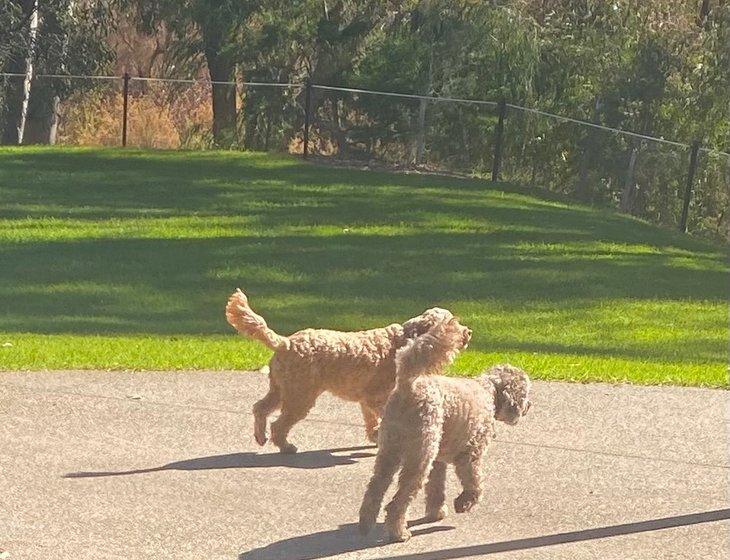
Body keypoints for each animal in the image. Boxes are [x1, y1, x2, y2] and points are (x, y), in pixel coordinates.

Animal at [223, 290, 472, 452]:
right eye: (453, 323)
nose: (469, 332)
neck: (403, 342)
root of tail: (285, 342)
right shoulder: (375, 398)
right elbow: (382, 417)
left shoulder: (367, 401)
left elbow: (372, 421)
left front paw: (375, 436)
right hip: (299, 396)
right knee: (279, 424)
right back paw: (286, 446)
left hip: (281, 389)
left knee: (260, 408)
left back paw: (260, 436)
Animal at [356, 320, 528, 544]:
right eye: (525, 393)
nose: (529, 406)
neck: (489, 391)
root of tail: (407, 384)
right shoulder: (470, 455)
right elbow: (475, 482)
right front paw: (464, 503)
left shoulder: (438, 460)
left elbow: (436, 487)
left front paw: (436, 512)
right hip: (419, 455)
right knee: (397, 501)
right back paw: (399, 532)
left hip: (390, 451)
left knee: (374, 490)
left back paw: (365, 524)